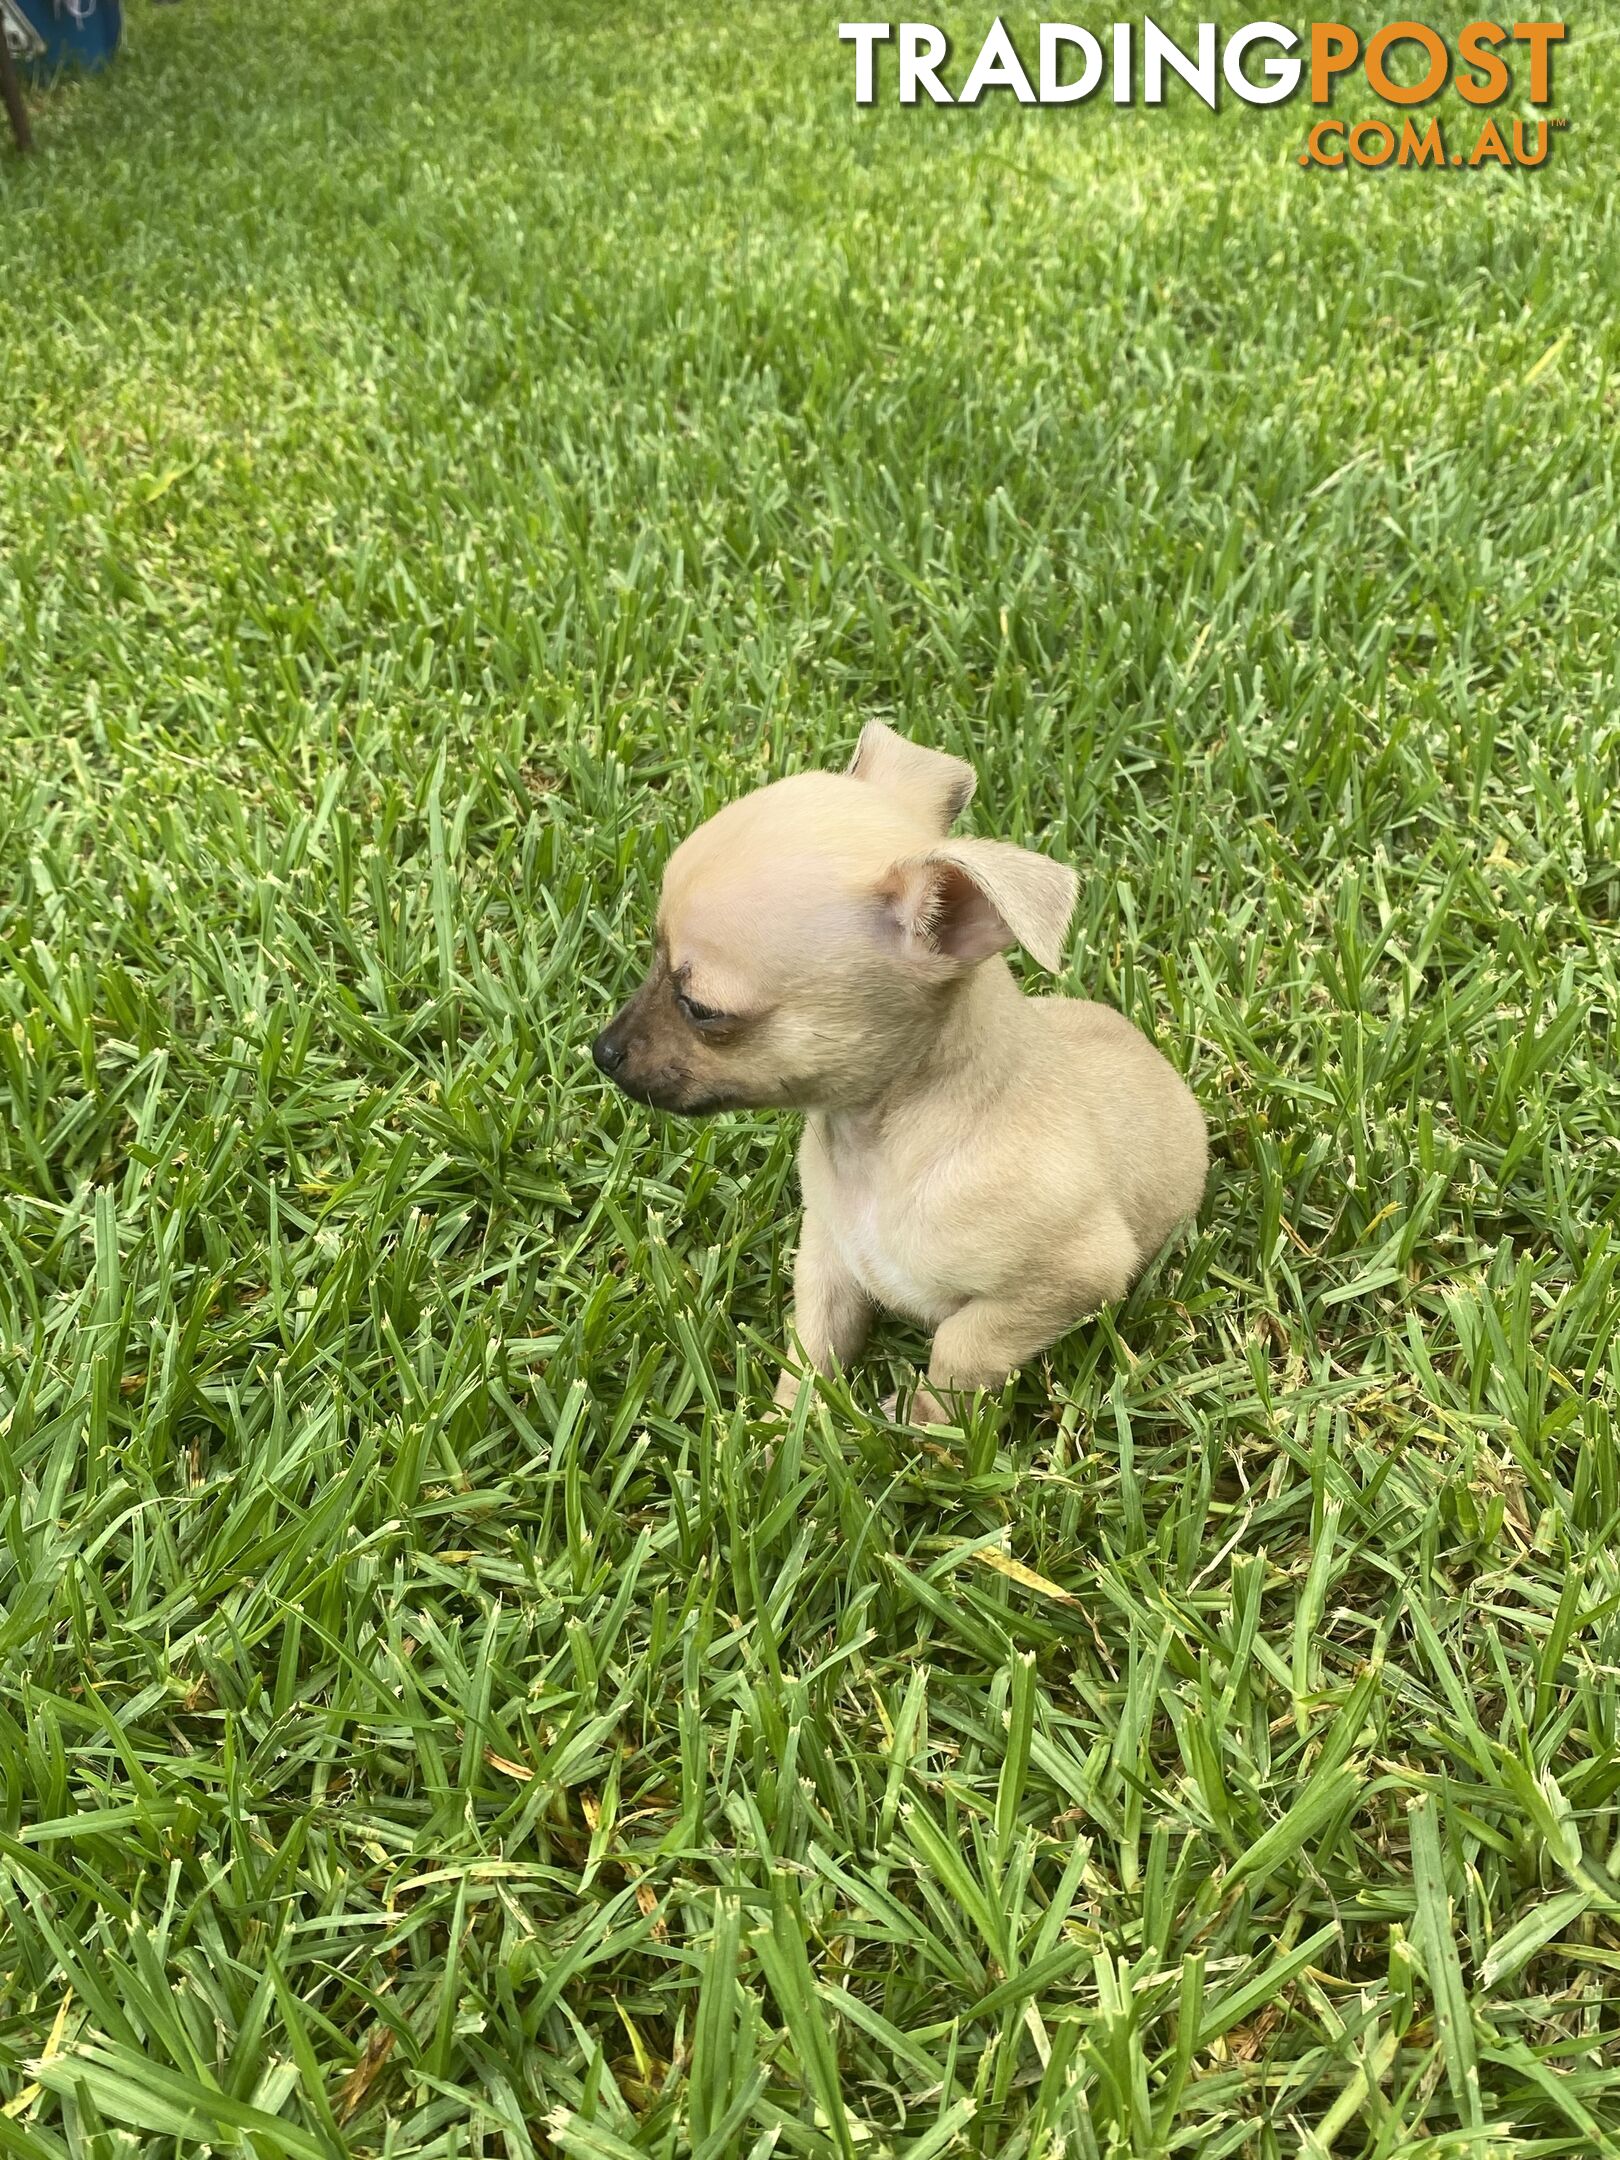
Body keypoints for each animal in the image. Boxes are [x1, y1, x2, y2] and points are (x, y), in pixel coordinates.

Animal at [591, 734, 1209, 1425]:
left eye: (701, 1009)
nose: (602, 1051)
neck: (884, 1146)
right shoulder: (828, 1262)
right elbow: (811, 1350)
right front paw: (784, 1427)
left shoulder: (1075, 1276)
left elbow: (962, 1347)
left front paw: (929, 1430)